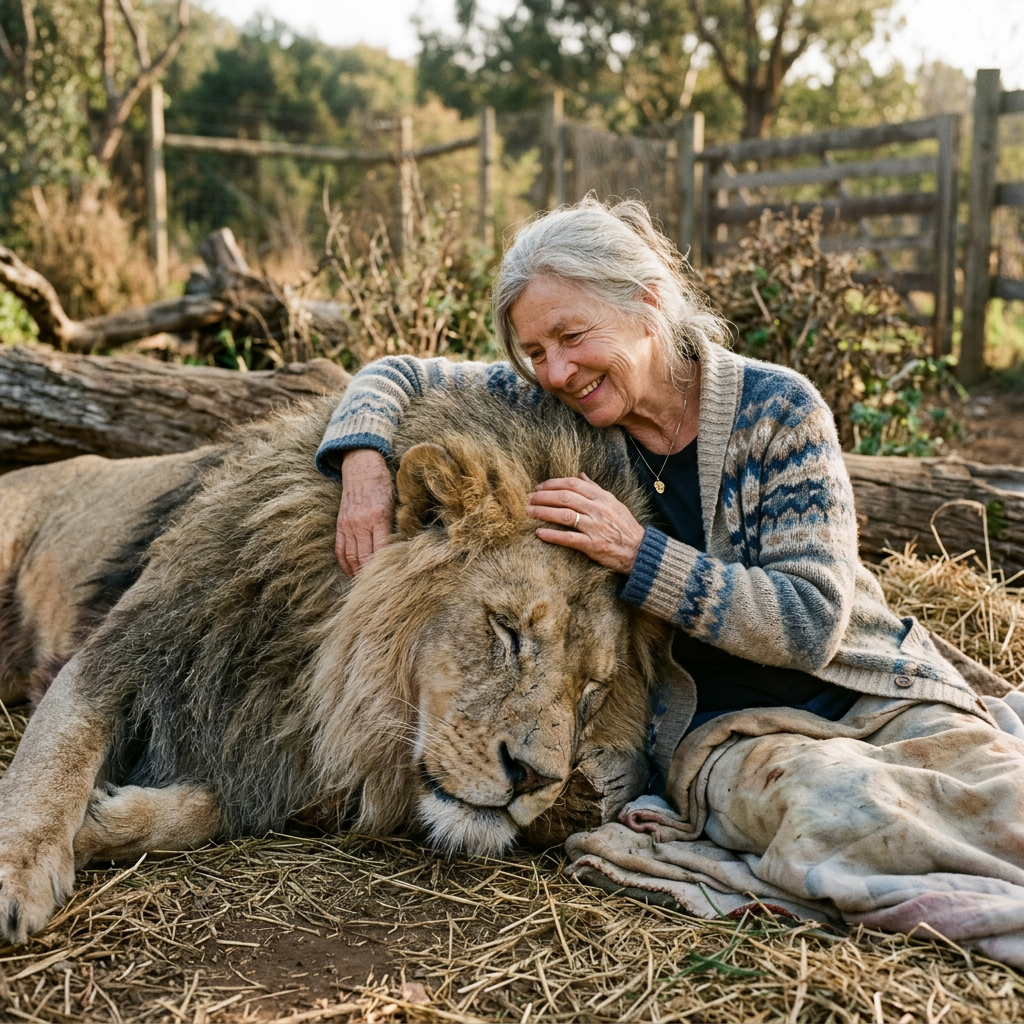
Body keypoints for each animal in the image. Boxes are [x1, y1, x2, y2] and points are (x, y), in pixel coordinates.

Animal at [0, 386, 674, 943]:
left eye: (592, 689)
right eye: (507, 632)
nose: (534, 779)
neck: (314, 669)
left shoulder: (280, 755)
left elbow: (211, 808)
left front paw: (102, 821)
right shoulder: (122, 653)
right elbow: (51, 764)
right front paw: (16, 871)